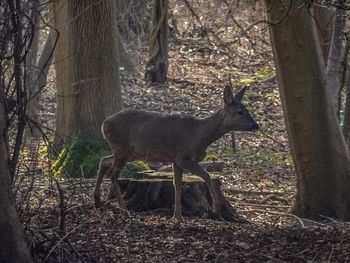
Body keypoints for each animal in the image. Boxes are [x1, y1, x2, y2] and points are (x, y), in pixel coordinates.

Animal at [94, 85, 258, 224]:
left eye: (247, 109)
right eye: (240, 112)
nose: (256, 125)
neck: (200, 135)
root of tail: (103, 124)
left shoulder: (175, 160)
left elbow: (177, 184)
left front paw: (177, 216)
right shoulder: (183, 157)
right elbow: (207, 175)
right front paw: (216, 208)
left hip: (128, 152)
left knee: (104, 161)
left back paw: (97, 201)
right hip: (121, 148)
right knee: (113, 174)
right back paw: (123, 210)